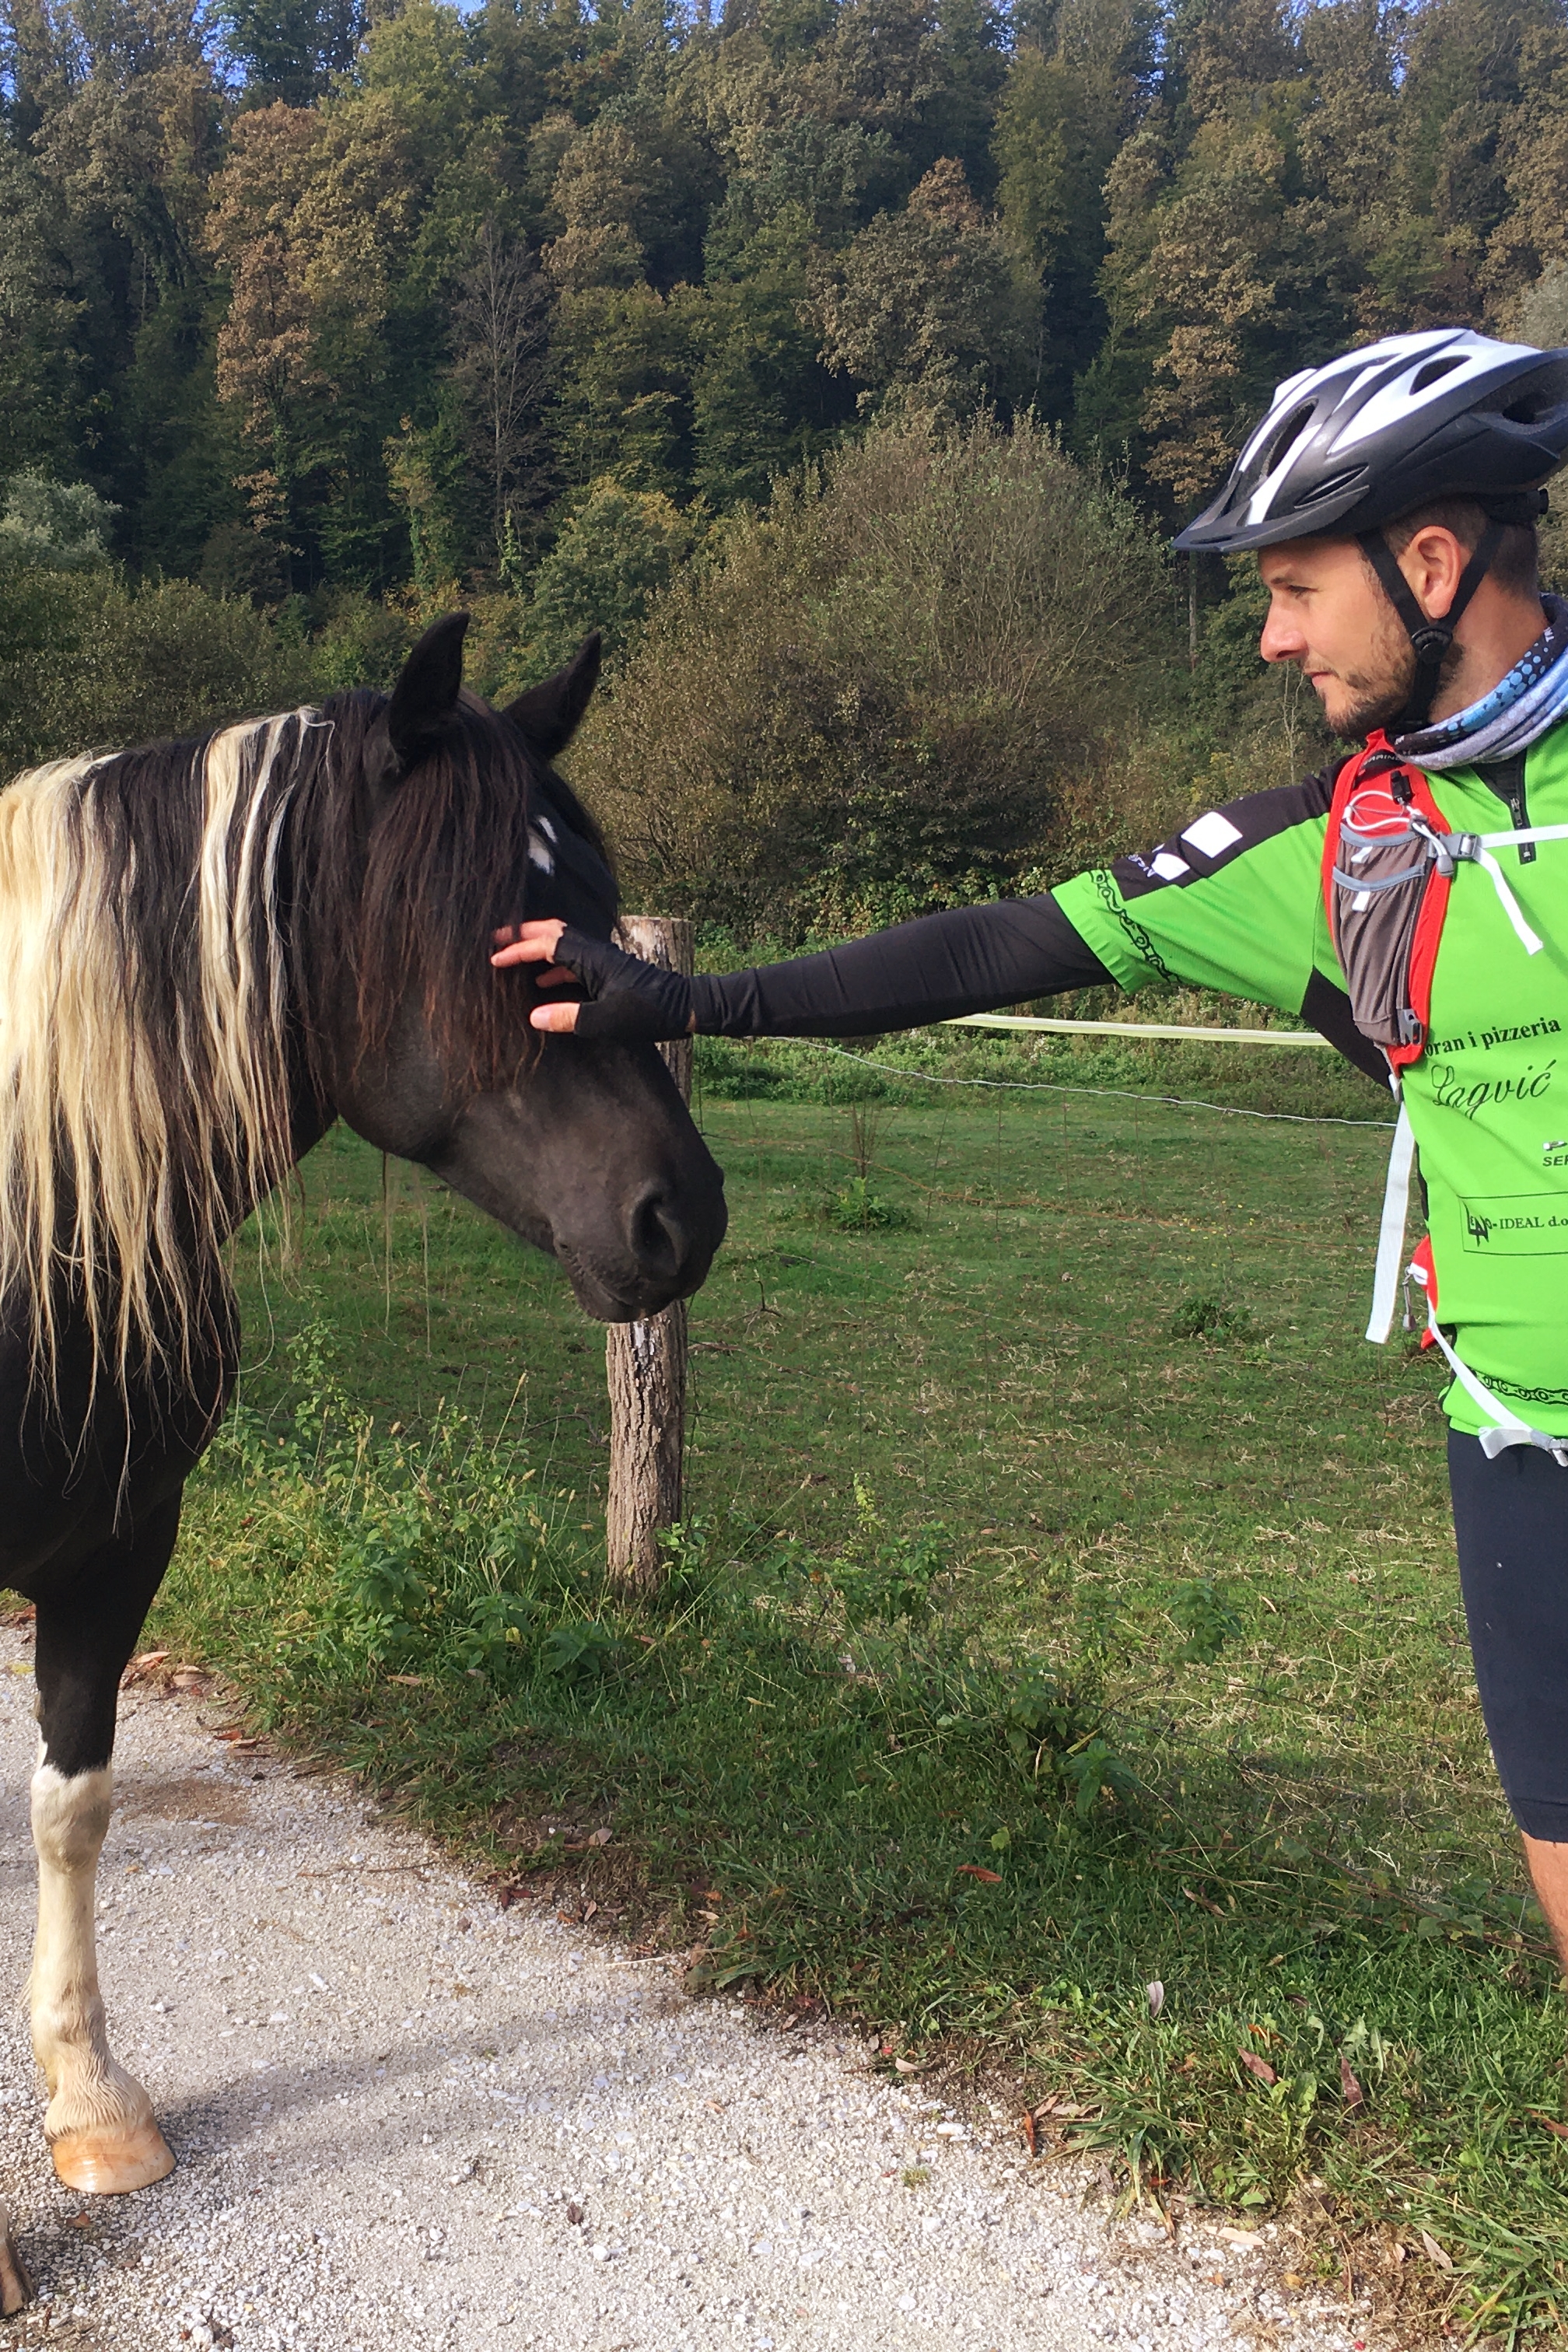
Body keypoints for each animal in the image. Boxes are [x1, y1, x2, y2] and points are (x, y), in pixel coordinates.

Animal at [0, 611, 728, 2314]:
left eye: (596, 920)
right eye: (492, 931)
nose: (683, 1217)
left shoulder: (116, 1542)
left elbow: (73, 1804)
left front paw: (93, 2100)